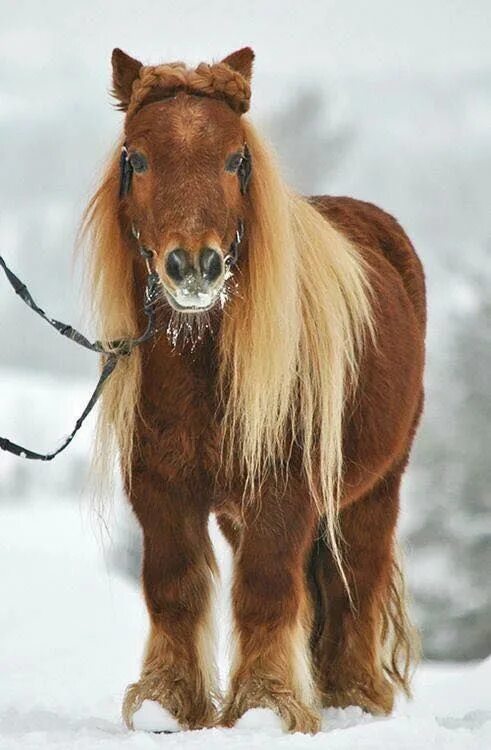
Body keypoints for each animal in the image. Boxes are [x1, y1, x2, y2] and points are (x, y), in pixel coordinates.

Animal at [83, 46, 425, 734]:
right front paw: (166, 702)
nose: (194, 267)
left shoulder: (284, 491)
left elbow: (266, 592)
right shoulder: (160, 489)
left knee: (355, 582)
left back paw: (353, 696)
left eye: (235, 158)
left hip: (373, 490)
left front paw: (265, 706)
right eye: (138, 157)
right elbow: (175, 588)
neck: (197, 367)